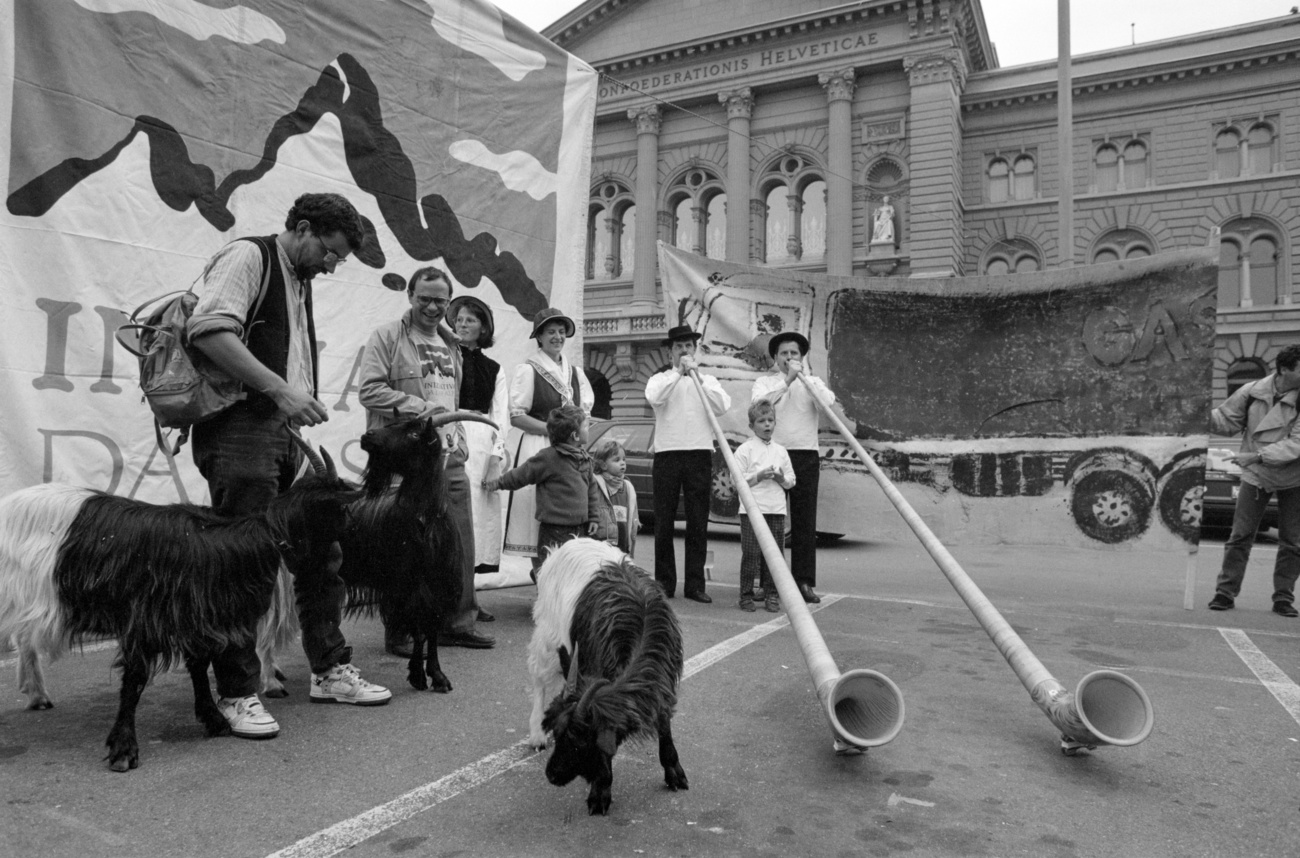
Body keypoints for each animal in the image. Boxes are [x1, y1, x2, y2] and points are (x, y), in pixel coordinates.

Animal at [0, 436, 358, 769]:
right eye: (340, 507)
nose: (354, 529)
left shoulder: (194, 618)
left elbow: (198, 668)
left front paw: (213, 719)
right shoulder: (146, 619)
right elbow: (135, 679)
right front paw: (124, 748)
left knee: (24, 638)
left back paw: (36, 693)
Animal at [527, 540, 691, 816]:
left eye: (580, 742)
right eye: (558, 735)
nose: (551, 775)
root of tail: (564, 545)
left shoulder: (663, 680)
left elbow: (663, 721)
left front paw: (674, 772)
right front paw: (600, 791)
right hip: (548, 635)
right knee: (538, 678)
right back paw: (536, 735)